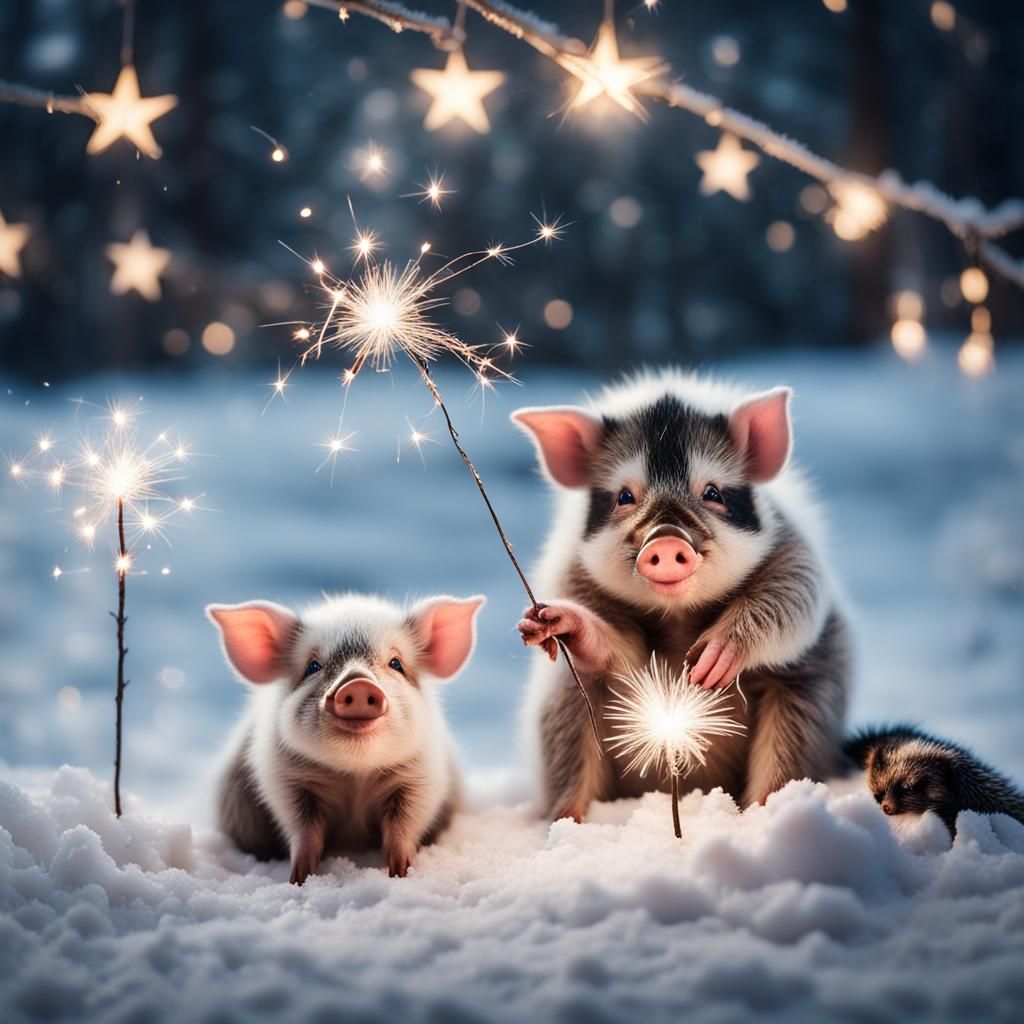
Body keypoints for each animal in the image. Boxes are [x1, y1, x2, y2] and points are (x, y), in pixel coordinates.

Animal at [207, 592, 484, 882]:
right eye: (313, 666)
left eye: (396, 663)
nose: (358, 682)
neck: (355, 773)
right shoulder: (285, 779)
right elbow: (303, 830)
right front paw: (299, 879)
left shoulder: (420, 777)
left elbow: (404, 826)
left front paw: (399, 873)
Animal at [513, 370, 853, 820]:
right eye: (624, 496)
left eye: (713, 493)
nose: (665, 538)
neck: (678, 620)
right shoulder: (573, 576)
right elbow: (621, 653)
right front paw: (557, 623)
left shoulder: (796, 557)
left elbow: (792, 602)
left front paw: (710, 663)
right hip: (563, 705)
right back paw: (569, 821)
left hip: (808, 697)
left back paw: (769, 815)